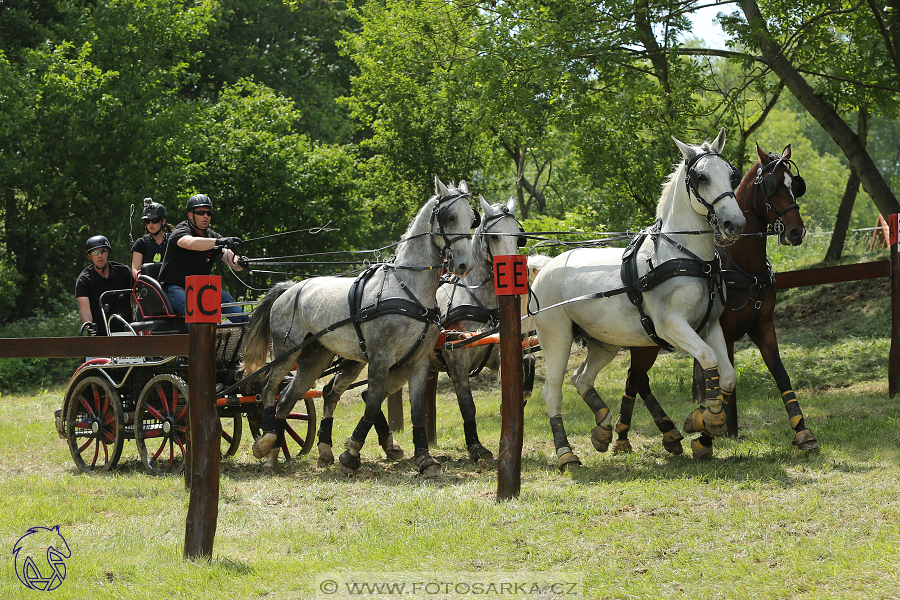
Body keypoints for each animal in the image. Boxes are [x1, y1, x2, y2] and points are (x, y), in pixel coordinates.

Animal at [239, 176, 478, 476]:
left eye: (472, 218)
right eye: (450, 216)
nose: (464, 264)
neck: (408, 289)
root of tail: (289, 288)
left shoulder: (419, 361)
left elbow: (416, 410)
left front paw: (425, 459)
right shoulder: (380, 358)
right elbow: (373, 404)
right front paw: (351, 453)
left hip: (316, 359)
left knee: (289, 400)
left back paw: (281, 453)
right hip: (286, 352)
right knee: (269, 390)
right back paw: (266, 443)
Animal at [430, 195, 524, 462]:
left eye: (519, 236)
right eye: (495, 236)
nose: (514, 273)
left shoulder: (501, 356)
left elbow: (509, 397)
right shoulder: (458, 363)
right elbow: (467, 405)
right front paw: (475, 446)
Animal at [532, 130, 740, 468]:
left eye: (732, 174)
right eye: (701, 177)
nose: (735, 223)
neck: (688, 257)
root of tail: (545, 266)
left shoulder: (710, 326)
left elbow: (728, 376)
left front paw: (704, 426)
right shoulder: (672, 326)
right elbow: (708, 358)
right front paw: (706, 420)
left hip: (605, 342)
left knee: (581, 378)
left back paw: (603, 427)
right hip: (556, 338)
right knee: (553, 392)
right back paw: (566, 453)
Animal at [620, 143, 816, 458]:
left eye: (795, 185)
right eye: (771, 186)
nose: (796, 231)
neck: (743, 266)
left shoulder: (763, 326)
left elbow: (779, 374)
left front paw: (803, 431)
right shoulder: (721, 329)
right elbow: (723, 383)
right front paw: (707, 433)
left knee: (636, 378)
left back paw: (648, 435)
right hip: (645, 341)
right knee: (635, 377)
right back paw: (627, 435)